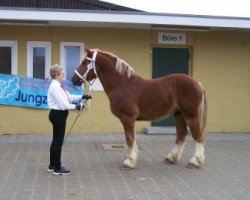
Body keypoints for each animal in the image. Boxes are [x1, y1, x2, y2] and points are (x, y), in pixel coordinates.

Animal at [72, 47, 207, 170]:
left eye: (84, 63)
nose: (73, 79)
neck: (123, 84)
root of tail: (197, 83)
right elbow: (132, 139)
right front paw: (132, 157)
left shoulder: (127, 118)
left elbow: (129, 139)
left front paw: (129, 162)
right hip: (178, 114)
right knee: (181, 134)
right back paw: (171, 158)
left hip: (190, 114)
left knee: (197, 134)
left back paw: (194, 161)